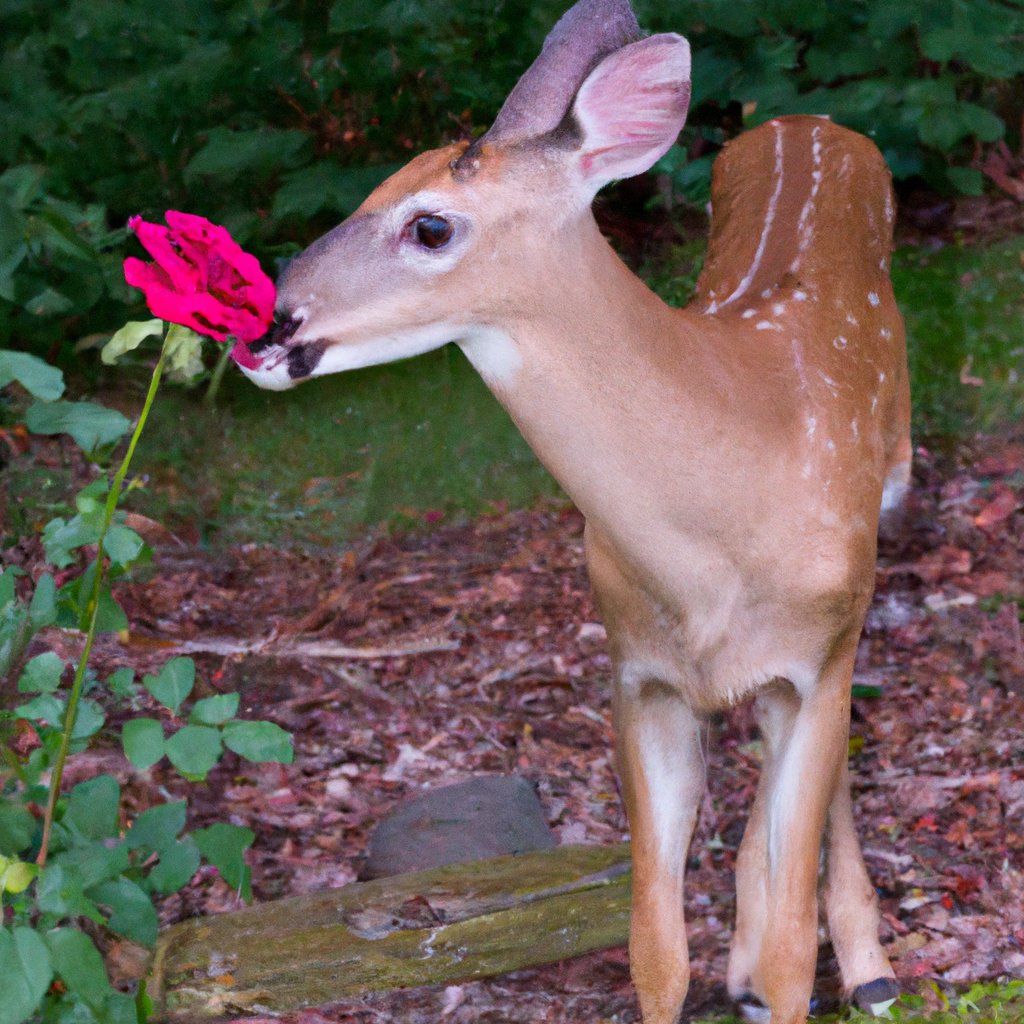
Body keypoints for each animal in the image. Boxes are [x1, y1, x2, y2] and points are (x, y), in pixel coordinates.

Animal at [237, 2, 913, 1024]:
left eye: (429, 224)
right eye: (372, 186)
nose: (269, 323)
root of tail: (808, 122)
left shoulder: (819, 650)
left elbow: (795, 951)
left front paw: (803, 965)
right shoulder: (636, 671)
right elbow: (655, 947)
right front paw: (721, 968)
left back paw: (866, 966)